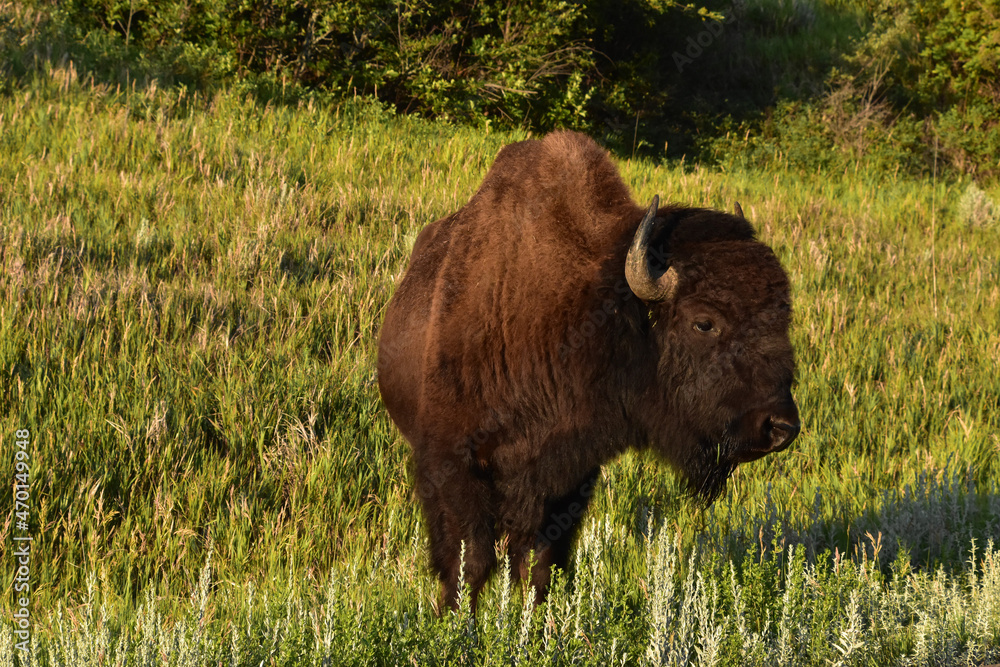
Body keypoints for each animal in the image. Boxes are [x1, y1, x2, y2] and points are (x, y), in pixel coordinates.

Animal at [378, 129, 800, 612]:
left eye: (783, 317)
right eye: (704, 322)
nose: (780, 427)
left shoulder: (570, 476)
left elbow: (539, 562)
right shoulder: (453, 463)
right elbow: (469, 562)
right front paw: (455, 619)